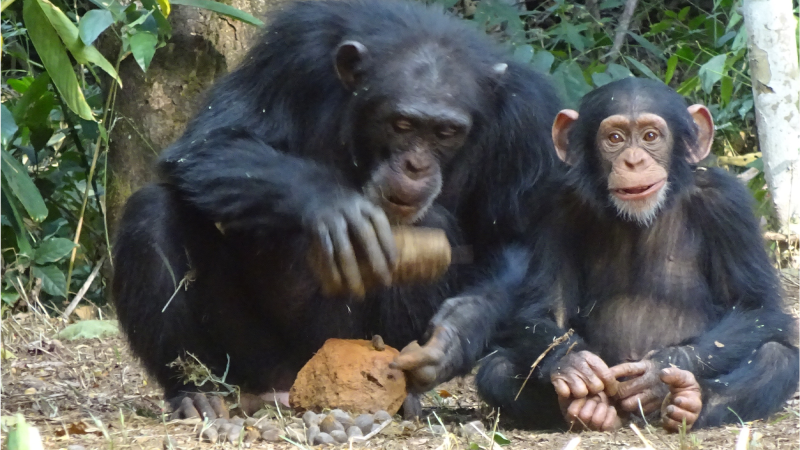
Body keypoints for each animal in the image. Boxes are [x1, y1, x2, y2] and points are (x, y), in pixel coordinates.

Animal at [111, 0, 564, 418]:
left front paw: (454, 335)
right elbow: (212, 142)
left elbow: (514, 238)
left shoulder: (527, 118)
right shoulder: (292, 51)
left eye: (446, 132)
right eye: (402, 124)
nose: (415, 166)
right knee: (151, 212)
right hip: (249, 359)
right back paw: (194, 391)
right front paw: (334, 207)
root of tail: (290, 386)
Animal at [478, 78, 796, 432]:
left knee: (776, 357)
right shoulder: (555, 205)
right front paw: (574, 362)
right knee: (496, 368)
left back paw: (689, 401)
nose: (633, 161)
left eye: (650, 136)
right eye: (615, 138)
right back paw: (586, 409)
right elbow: (545, 309)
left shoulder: (728, 203)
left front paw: (658, 371)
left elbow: (756, 306)